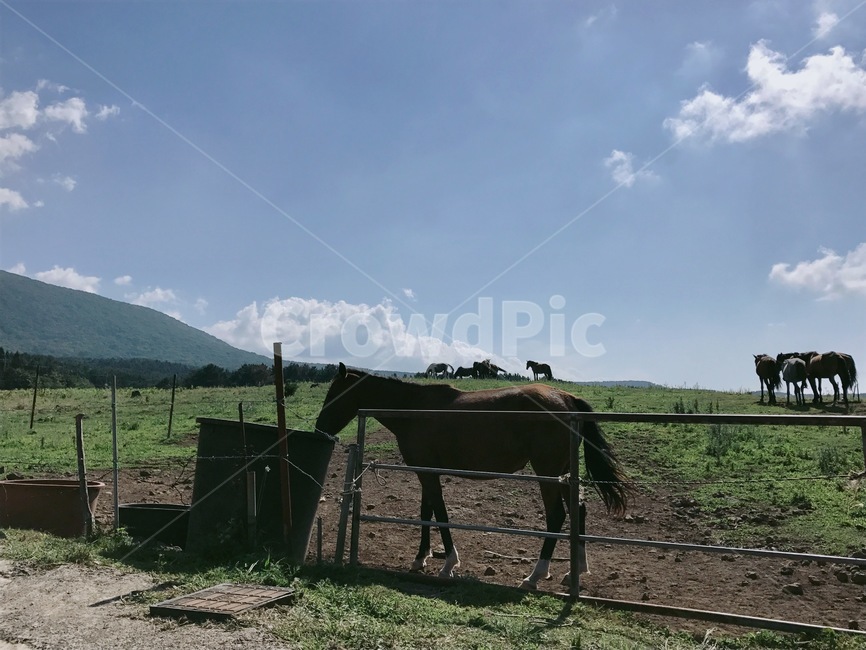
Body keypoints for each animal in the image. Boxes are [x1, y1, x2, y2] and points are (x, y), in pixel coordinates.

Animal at [314, 363, 631, 589]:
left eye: (334, 395)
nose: (319, 428)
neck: (414, 409)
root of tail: (567, 398)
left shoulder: (428, 473)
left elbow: (440, 512)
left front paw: (448, 564)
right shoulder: (426, 470)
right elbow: (426, 511)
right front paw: (420, 559)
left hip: (548, 472)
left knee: (556, 516)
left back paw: (535, 575)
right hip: (563, 472)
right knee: (578, 509)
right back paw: (576, 571)